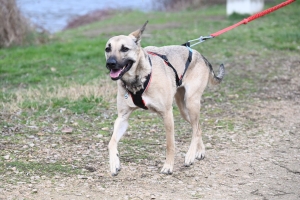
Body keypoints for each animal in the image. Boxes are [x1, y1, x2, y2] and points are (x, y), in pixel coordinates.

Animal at [104, 21, 224, 176]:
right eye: (107, 49)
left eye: (124, 48)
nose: (110, 63)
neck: (139, 78)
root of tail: (200, 55)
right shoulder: (122, 118)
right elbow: (111, 142)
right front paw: (114, 163)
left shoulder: (167, 115)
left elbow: (170, 145)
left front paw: (168, 166)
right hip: (184, 109)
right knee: (198, 128)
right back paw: (200, 151)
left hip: (191, 103)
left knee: (196, 129)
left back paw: (190, 155)